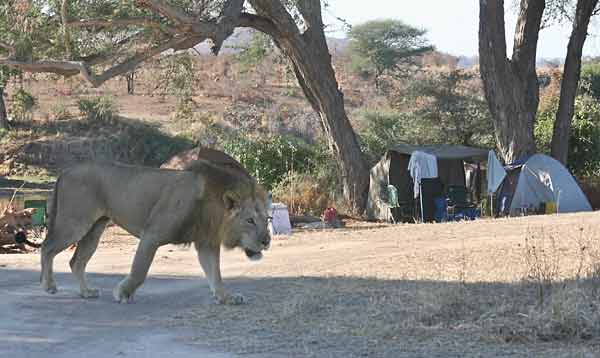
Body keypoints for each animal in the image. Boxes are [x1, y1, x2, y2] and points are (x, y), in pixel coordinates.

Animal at [39, 161, 270, 304]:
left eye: (267, 219)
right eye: (250, 220)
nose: (266, 241)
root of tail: (67, 170)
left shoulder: (206, 243)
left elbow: (216, 274)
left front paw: (226, 298)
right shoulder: (152, 234)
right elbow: (139, 270)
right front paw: (123, 293)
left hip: (94, 230)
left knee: (76, 261)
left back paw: (86, 292)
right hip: (75, 224)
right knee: (47, 248)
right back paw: (48, 286)